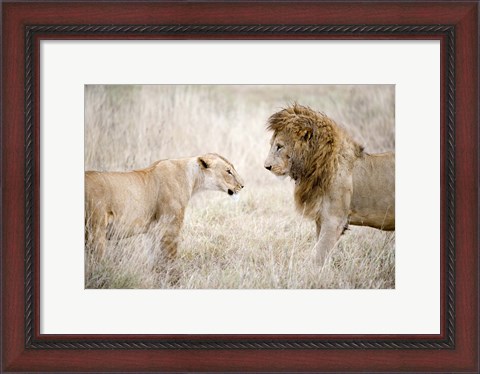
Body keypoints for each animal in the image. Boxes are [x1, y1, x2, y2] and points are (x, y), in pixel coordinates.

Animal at [84, 153, 244, 262]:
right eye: (228, 171)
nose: (242, 185)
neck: (192, 179)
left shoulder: (154, 231)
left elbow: (155, 259)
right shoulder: (170, 227)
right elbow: (169, 260)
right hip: (96, 231)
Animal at [264, 103, 396, 264]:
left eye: (279, 146)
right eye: (272, 145)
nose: (266, 166)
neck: (315, 166)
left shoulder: (334, 220)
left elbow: (319, 256)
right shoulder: (321, 219)